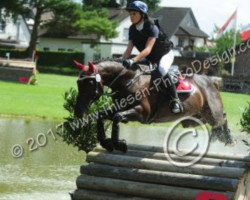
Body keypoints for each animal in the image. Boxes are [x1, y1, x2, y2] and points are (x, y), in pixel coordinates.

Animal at [73, 59, 233, 153]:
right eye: (78, 83)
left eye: (90, 83)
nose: (78, 112)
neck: (129, 80)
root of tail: (212, 80)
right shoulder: (121, 108)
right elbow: (101, 116)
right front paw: (106, 143)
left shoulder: (141, 113)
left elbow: (117, 117)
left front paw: (119, 144)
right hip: (193, 119)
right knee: (219, 120)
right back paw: (221, 138)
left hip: (211, 112)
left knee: (221, 119)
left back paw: (227, 139)